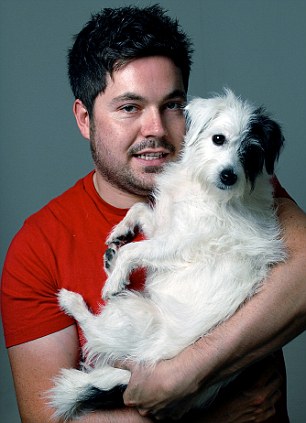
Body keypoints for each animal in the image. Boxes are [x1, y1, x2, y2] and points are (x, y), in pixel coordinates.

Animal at [49, 89, 286, 420]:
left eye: (251, 154)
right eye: (218, 139)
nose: (228, 176)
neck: (202, 187)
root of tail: (128, 376)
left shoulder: (176, 243)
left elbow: (135, 250)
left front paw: (115, 276)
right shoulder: (164, 225)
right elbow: (139, 210)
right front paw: (120, 232)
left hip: (132, 315)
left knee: (94, 328)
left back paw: (77, 298)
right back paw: (110, 262)